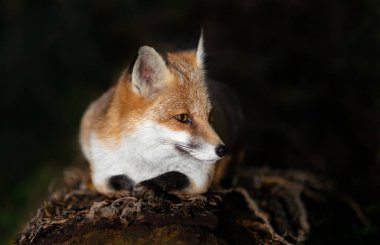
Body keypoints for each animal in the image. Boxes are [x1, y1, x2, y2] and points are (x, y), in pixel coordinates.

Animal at [80, 32, 242, 198]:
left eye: (210, 117)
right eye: (182, 118)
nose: (222, 150)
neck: (147, 160)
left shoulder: (200, 177)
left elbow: (173, 175)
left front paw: (150, 185)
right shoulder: (102, 172)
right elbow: (115, 180)